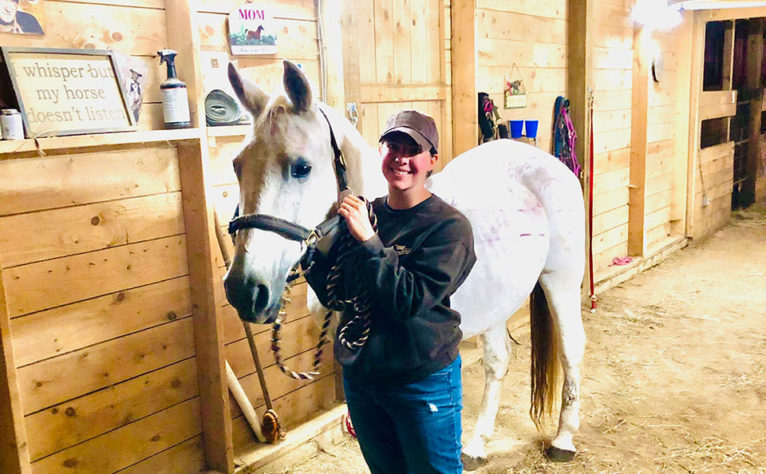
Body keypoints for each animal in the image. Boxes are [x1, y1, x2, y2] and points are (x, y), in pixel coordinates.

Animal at [222, 60, 588, 466]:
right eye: (237, 165)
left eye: (301, 167)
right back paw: (477, 445)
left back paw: (563, 439)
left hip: (561, 280)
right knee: (497, 361)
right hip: (499, 300)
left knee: (571, 349)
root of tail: (547, 162)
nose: (245, 290)